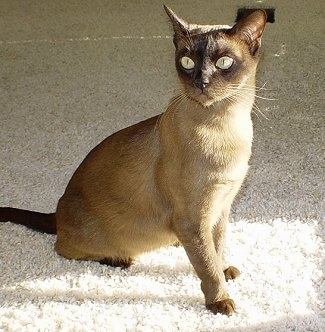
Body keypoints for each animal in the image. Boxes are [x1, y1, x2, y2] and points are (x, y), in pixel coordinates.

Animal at [0, 6, 268, 316]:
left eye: (224, 62)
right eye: (187, 62)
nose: (201, 82)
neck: (227, 125)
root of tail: (57, 209)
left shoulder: (221, 208)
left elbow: (217, 248)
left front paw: (225, 270)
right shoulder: (194, 218)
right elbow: (207, 265)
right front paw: (220, 300)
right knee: (62, 247)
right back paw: (118, 259)